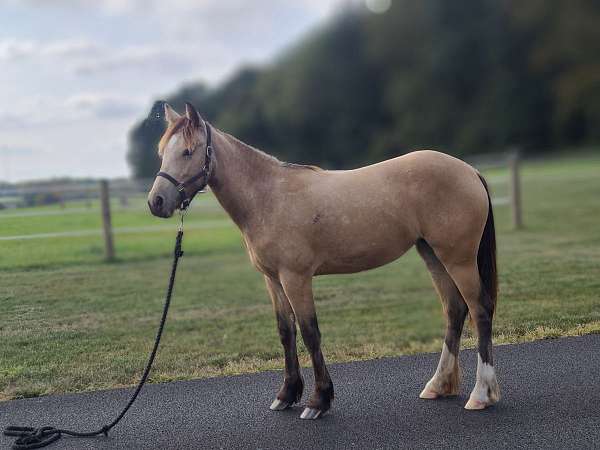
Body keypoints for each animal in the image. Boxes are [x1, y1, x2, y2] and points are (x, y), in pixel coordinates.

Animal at [148, 103, 500, 420]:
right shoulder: (273, 280)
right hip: (432, 254)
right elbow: (286, 332)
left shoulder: (296, 278)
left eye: (188, 152)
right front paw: (286, 395)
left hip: (458, 259)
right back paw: (438, 386)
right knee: (454, 310)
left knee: (480, 310)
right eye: (162, 152)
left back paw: (481, 395)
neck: (268, 197)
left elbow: (309, 332)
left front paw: (318, 401)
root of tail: (469, 170)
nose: (157, 202)